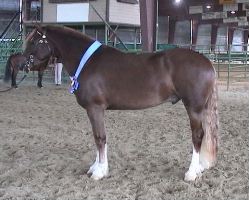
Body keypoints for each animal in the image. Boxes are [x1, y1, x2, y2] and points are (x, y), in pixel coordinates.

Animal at [22, 25, 218, 182]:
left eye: (34, 42)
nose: (23, 65)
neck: (87, 62)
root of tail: (207, 62)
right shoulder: (95, 111)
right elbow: (98, 138)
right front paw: (96, 167)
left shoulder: (95, 108)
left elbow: (100, 138)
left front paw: (99, 172)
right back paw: (199, 168)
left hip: (193, 107)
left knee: (197, 136)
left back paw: (191, 173)